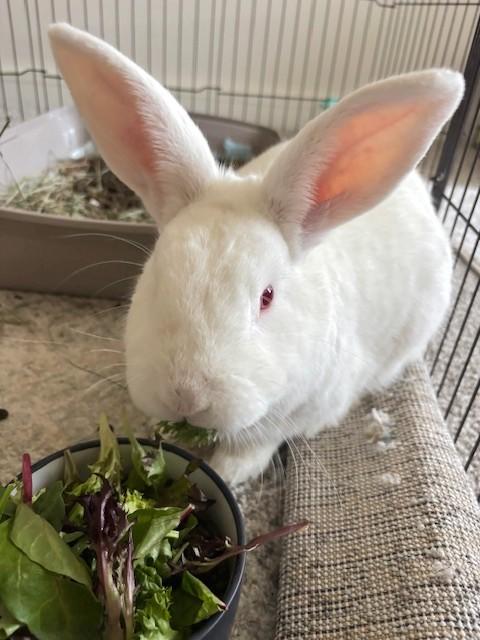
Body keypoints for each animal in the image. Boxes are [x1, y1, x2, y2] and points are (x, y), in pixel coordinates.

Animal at [49, 24, 464, 485]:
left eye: (267, 297)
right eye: (156, 277)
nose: (187, 397)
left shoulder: (304, 410)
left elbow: (256, 443)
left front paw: (228, 470)